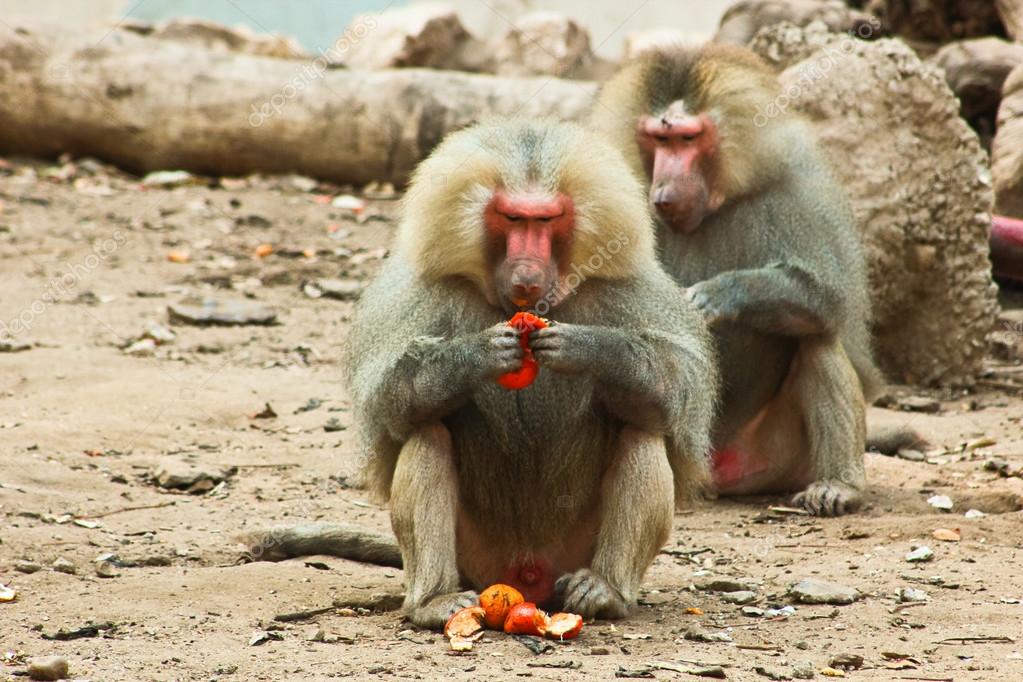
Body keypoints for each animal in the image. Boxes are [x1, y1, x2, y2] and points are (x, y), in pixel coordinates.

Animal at [338, 119, 718, 628]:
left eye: (547, 220)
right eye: (513, 219)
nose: (527, 274)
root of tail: (527, 576)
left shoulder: (633, 289)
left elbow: (674, 387)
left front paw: (588, 347)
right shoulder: (417, 293)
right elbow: (391, 402)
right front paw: (475, 355)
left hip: (570, 553)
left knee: (643, 430)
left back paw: (605, 591)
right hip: (479, 560)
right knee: (426, 434)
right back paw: (435, 602)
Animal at [590, 44, 884, 517]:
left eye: (688, 138)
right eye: (657, 138)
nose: (663, 193)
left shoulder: (797, 190)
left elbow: (826, 297)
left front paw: (716, 296)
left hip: (776, 455)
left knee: (815, 333)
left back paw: (838, 486)